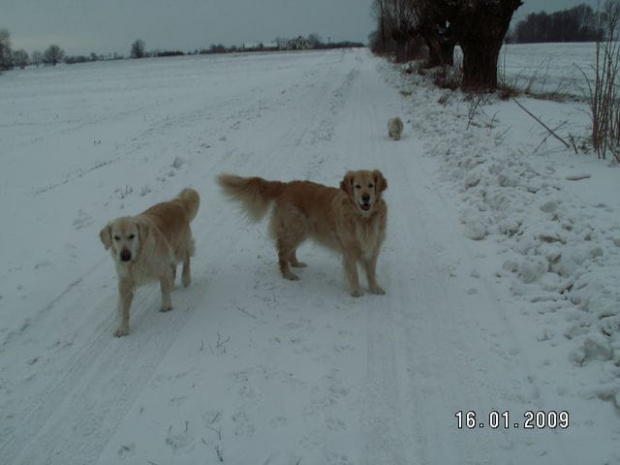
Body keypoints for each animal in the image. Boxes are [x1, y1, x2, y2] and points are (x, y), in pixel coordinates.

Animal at [100, 188, 199, 338]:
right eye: (116, 237)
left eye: (132, 236)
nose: (124, 255)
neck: (137, 258)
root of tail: (176, 202)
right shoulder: (125, 281)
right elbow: (124, 308)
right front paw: (122, 328)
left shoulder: (161, 267)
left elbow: (163, 289)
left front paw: (166, 305)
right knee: (173, 267)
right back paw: (173, 282)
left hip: (177, 249)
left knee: (186, 257)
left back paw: (185, 278)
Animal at [216, 169, 386, 296]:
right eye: (357, 186)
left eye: (371, 185)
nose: (366, 198)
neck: (363, 218)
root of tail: (285, 185)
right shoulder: (349, 250)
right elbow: (353, 273)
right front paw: (356, 292)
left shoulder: (373, 248)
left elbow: (371, 273)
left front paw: (375, 288)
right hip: (296, 227)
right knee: (282, 253)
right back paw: (288, 274)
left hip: (300, 229)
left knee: (290, 251)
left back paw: (296, 264)